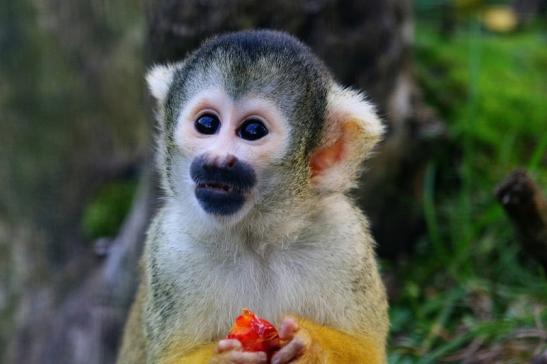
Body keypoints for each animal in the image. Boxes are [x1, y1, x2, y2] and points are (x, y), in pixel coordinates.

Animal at [117, 29, 388, 362]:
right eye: (207, 124)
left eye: (253, 131)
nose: (217, 161)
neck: (254, 240)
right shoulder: (169, 251)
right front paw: (226, 359)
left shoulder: (345, 240)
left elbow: (368, 353)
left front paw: (309, 346)